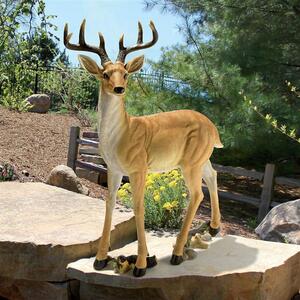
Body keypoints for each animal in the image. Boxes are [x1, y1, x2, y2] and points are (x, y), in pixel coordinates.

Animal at [63, 18, 223, 276]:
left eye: (126, 73)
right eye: (105, 74)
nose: (119, 89)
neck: (123, 134)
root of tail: (213, 127)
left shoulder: (139, 167)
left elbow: (138, 207)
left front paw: (140, 264)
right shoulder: (114, 168)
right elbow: (109, 203)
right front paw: (100, 259)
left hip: (190, 162)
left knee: (197, 193)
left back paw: (178, 253)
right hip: (200, 157)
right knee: (213, 175)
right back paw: (214, 228)